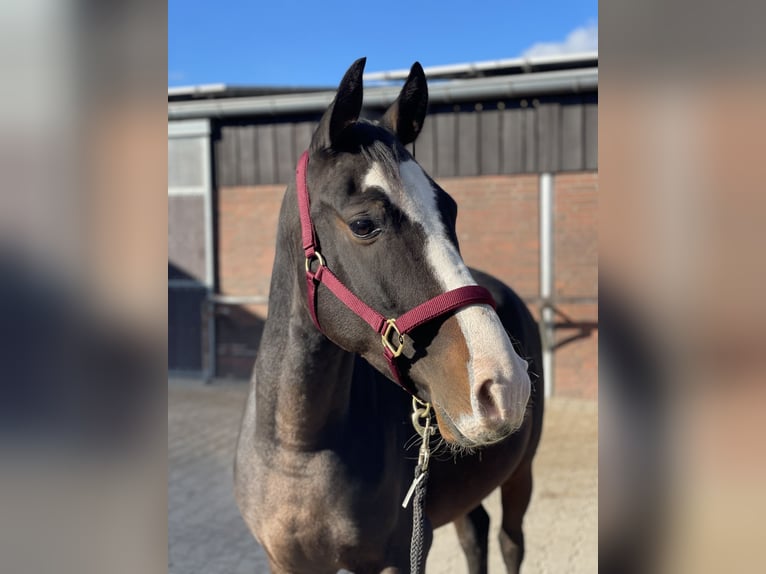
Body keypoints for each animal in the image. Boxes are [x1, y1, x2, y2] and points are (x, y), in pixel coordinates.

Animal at [234, 59, 544, 574]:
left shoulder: (395, 556)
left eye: (450, 209)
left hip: (521, 473)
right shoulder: (287, 562)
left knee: (510, 541)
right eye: (364, 224)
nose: (503, 385)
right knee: (475, 533)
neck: (299, 446)